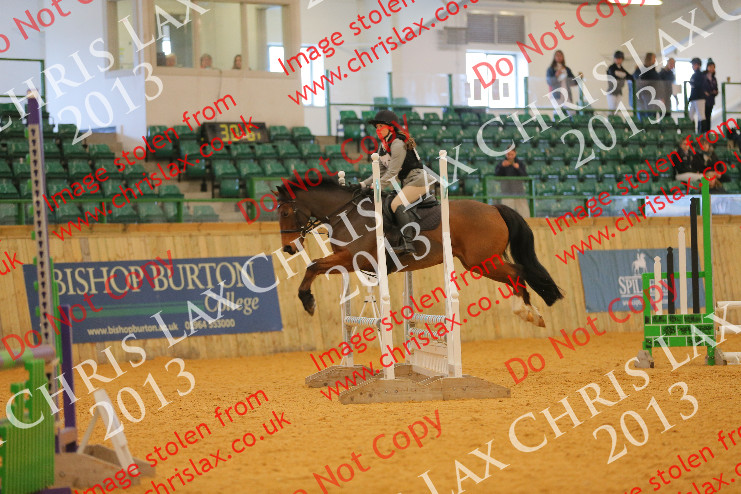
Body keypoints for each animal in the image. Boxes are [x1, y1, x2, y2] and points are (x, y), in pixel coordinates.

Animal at [275, 179, 563, 327]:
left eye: (286, 212)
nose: (289, 247)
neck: (347, 214)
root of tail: (493, 208)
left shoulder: (353, 258)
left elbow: (313, 264)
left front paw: (307, 302)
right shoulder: (348, 262)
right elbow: (314, 266)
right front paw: (308, 299)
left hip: (482, 262)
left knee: (518, 273)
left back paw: (527, 312)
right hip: (482, 262)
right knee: (518, 274)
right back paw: (529, 311)